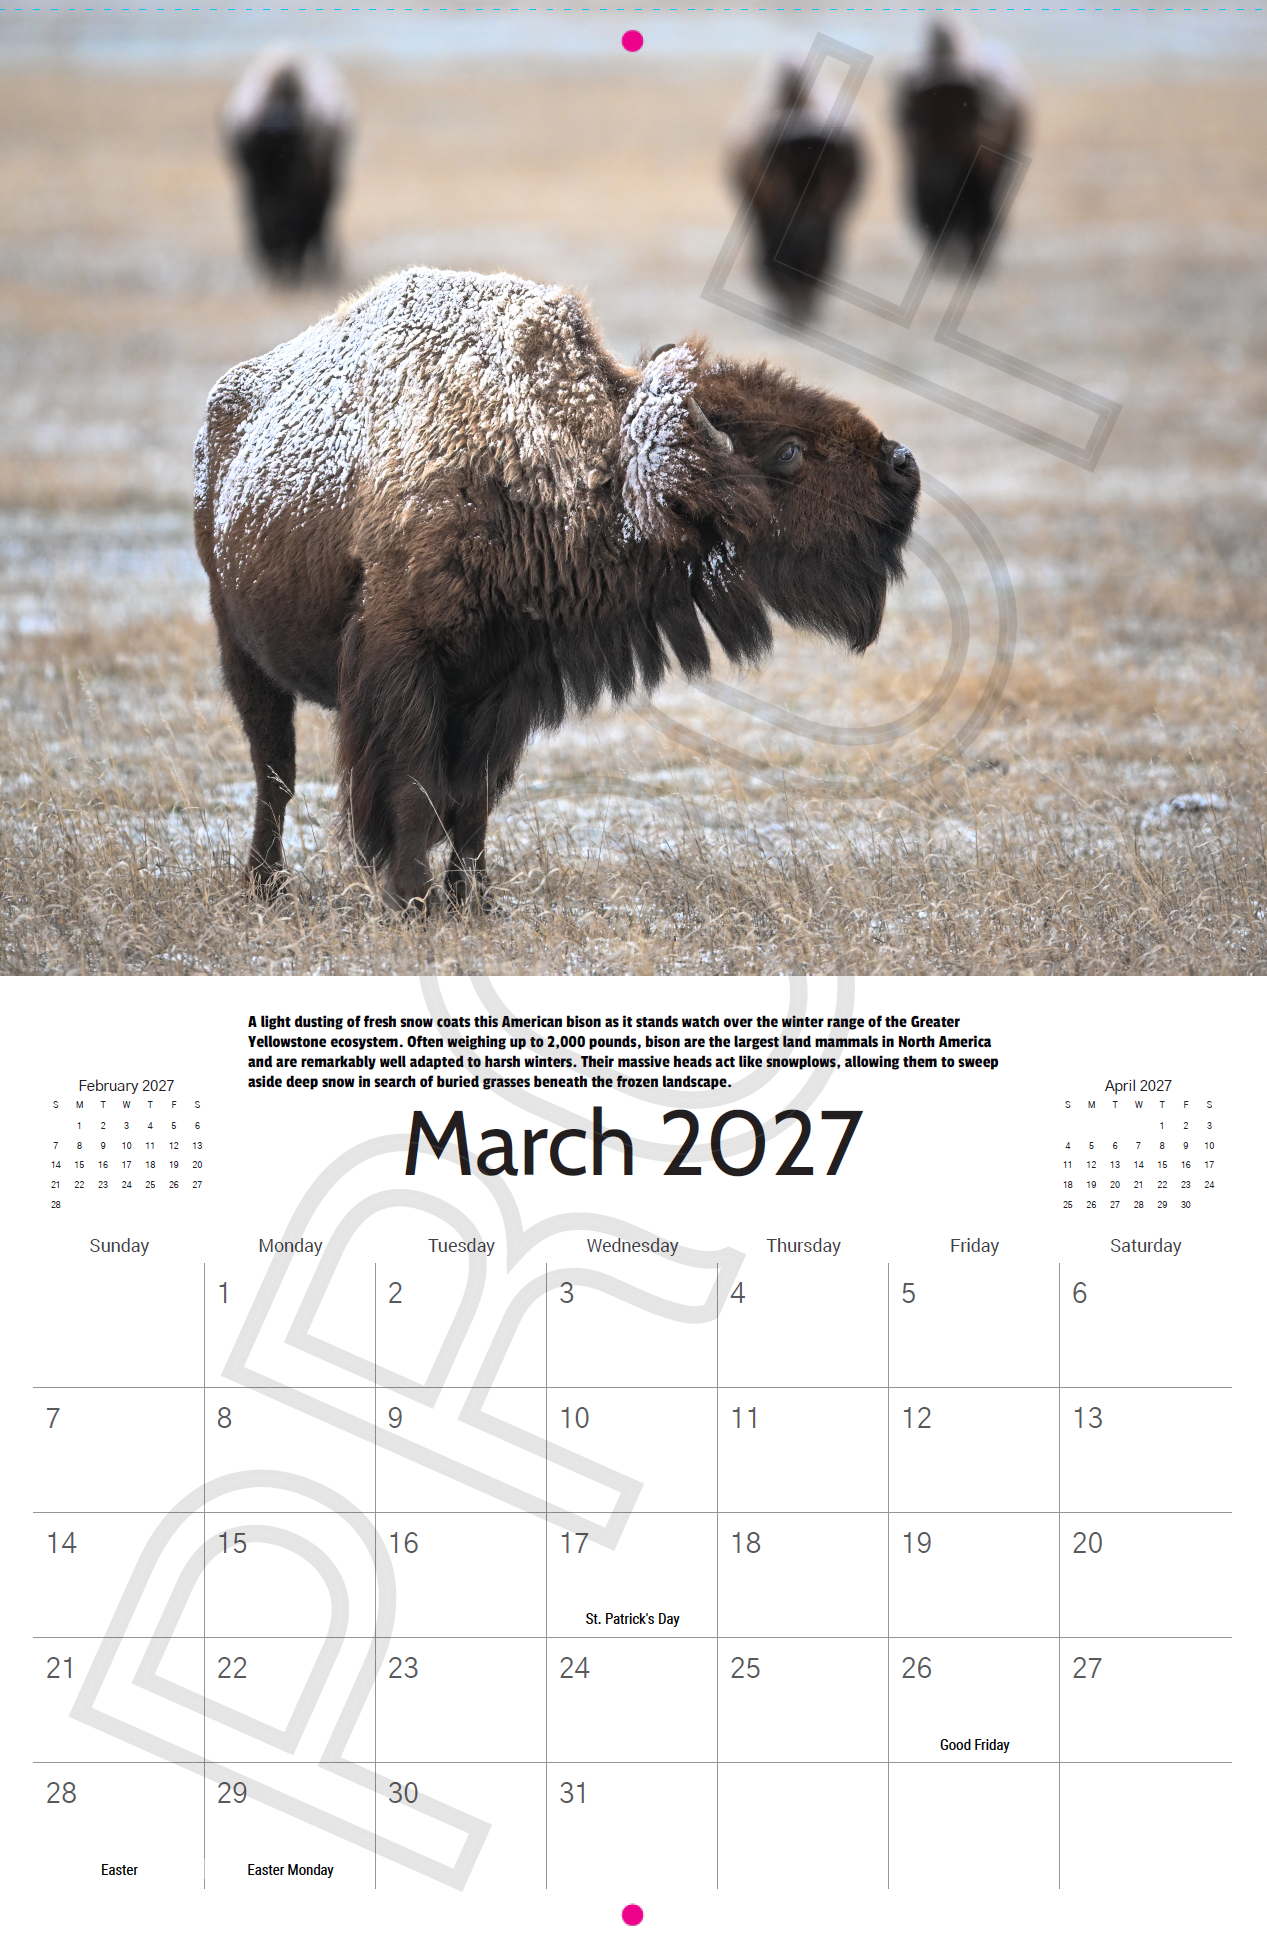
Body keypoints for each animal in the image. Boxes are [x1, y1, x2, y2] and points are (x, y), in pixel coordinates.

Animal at [194, 268, 919, 910]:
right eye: (788, 452)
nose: (902, 465)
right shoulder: (405, 666)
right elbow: (415, 793)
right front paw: (414, 901)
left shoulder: (504, 685)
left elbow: (471, 803)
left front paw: (474, 901)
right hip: (242, 653)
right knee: (274, 774)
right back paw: (265, 885)